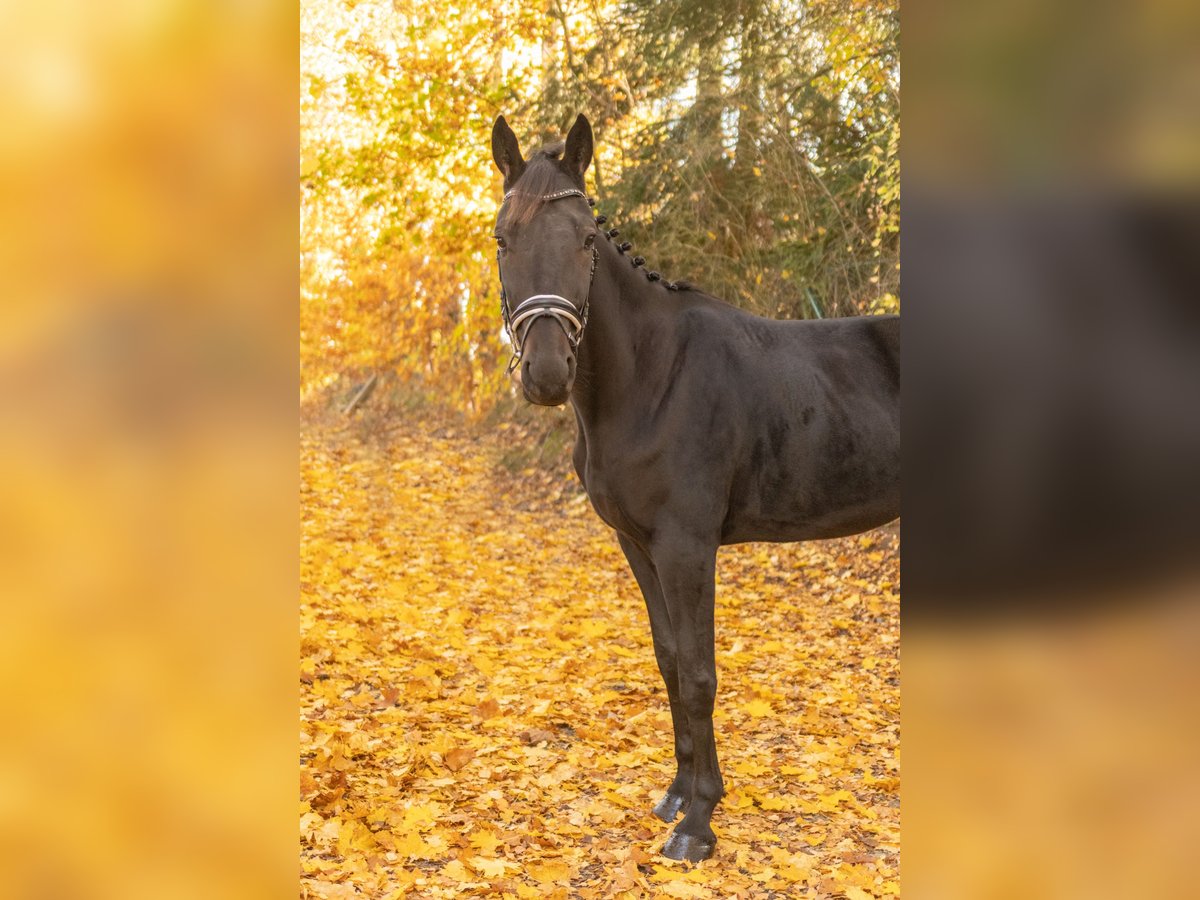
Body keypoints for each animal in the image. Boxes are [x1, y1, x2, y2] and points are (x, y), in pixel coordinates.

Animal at [489, 114, 902, 868]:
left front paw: (700, 822)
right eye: (504, 237)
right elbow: (671, 661)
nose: (547, 374)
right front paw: (679, 794)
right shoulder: (638, 544)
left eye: (585, 239)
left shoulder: (687, 547)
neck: (653, 376)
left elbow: (701, 672)